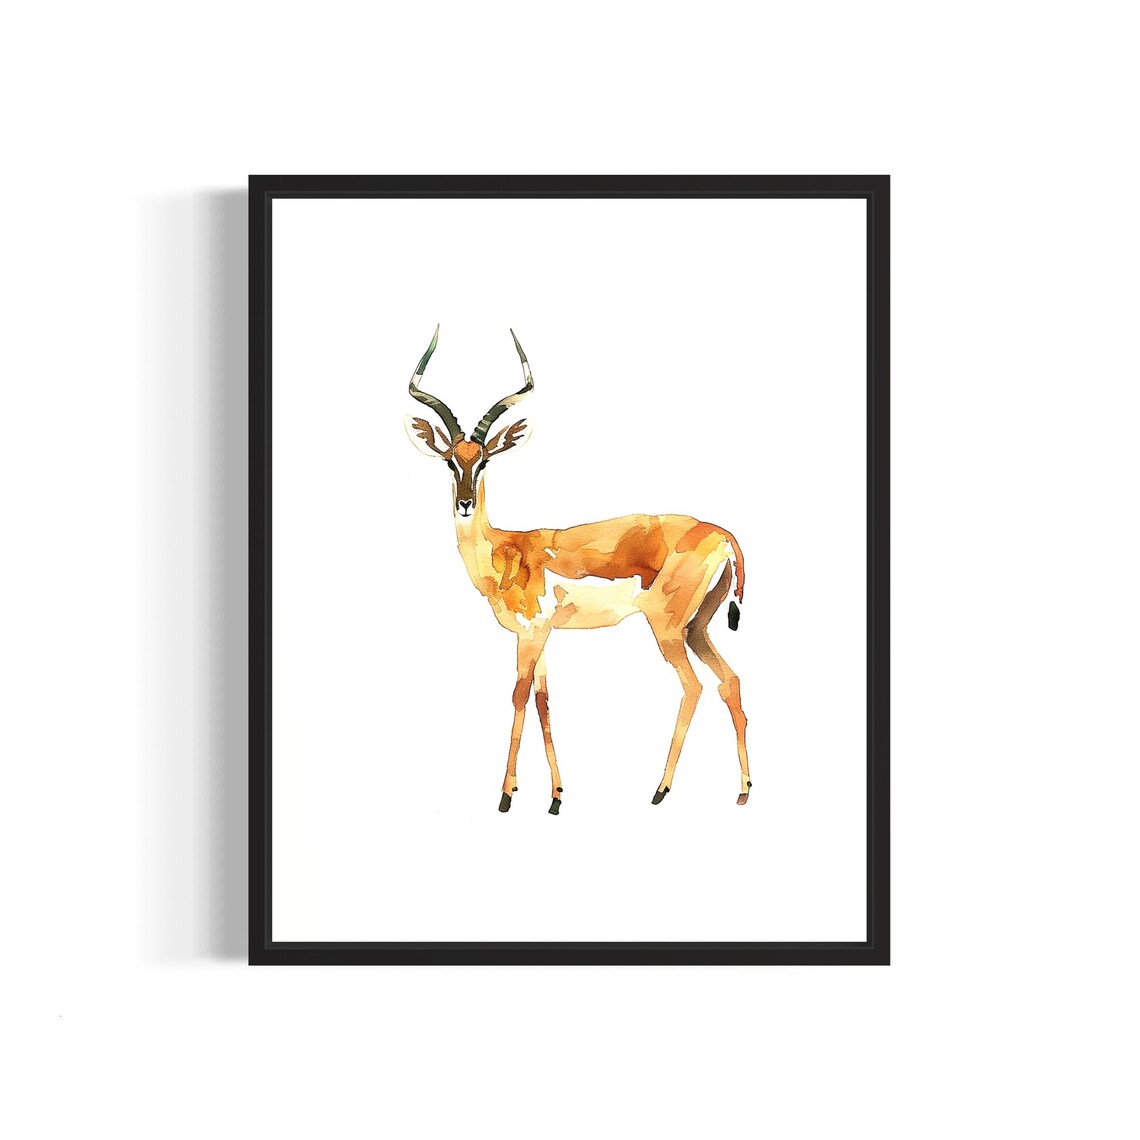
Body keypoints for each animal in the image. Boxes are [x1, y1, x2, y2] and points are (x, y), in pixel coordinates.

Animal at [404, 326, 751, 814]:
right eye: (451, 459)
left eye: (484, 459)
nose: (465, 503)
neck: (505, 550)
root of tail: (720, 533)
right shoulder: (541, 635)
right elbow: (544, 700)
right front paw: (555, 798)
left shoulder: (531, 632)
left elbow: (519, 696)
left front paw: (505, 796)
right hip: (698, 627)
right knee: (730, 681)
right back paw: (742, 791)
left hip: (667, 629)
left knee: (693, 687)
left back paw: (660, 791)